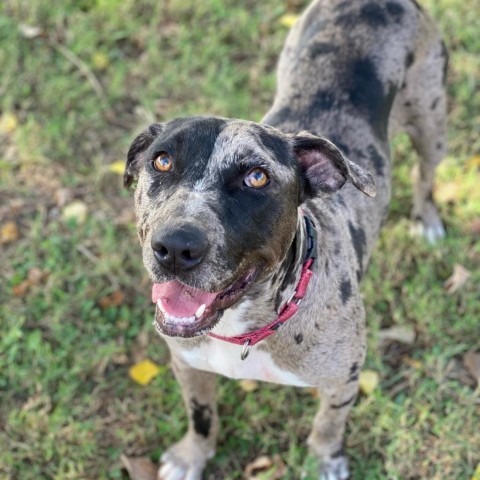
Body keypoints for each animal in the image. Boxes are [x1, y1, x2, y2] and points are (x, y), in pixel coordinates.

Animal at [123, 1, 446, 478]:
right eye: (161, 161)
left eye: (257, 177)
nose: (175, 248)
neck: (242, 328)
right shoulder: (187, 364)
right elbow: (201, 415)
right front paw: (191, 456)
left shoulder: (344, 378)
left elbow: (328, 425)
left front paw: (325, 461)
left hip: (432, 121)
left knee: (426, 174)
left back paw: (426, 220)